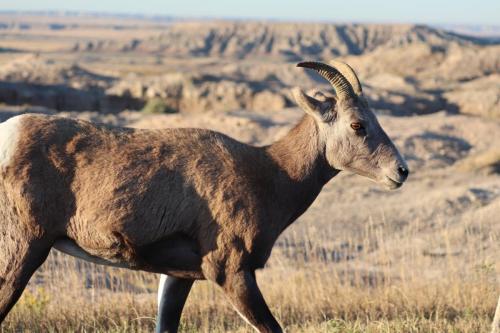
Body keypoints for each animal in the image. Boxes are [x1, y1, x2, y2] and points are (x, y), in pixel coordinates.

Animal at [0, 61, 408, 330]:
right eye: (357, 125)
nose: (400, 172)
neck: (271, 174)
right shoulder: (232, 273)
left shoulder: (179, 278)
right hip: (23, 249)